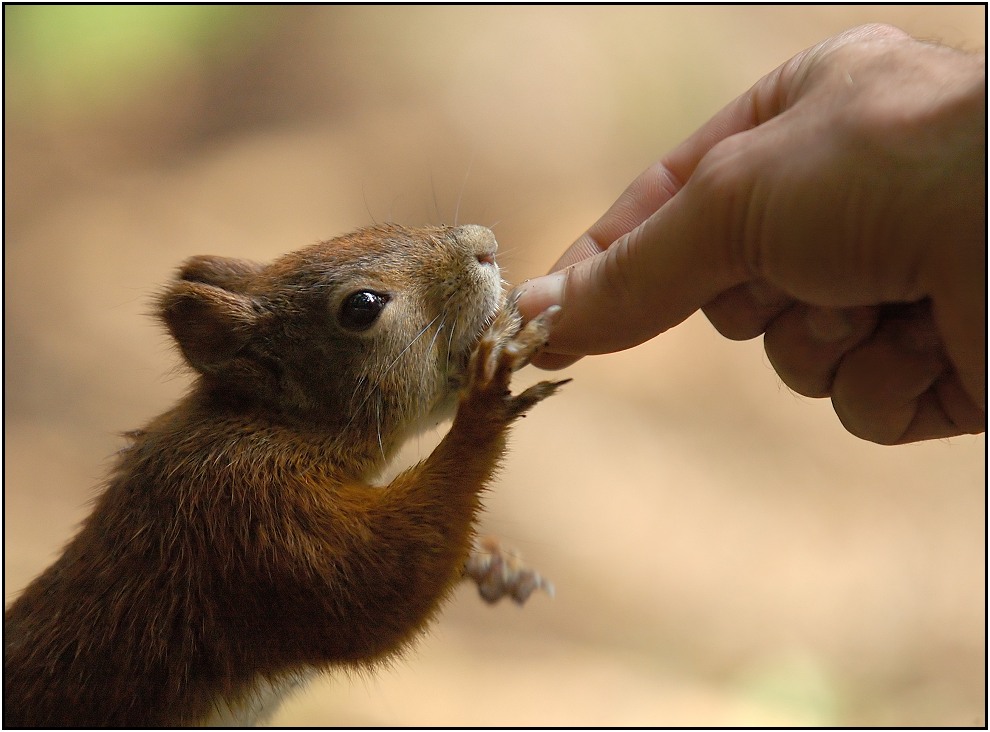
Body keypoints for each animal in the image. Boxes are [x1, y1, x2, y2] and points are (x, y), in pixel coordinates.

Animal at [1, 224, 564, 728]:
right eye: (361, 306)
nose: (485, 244)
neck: (275, 424)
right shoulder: (247, 511)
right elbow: (380, 585)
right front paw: (487, 391)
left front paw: (495, 564)